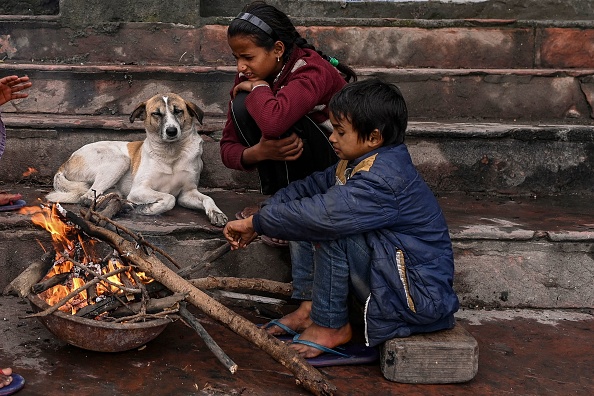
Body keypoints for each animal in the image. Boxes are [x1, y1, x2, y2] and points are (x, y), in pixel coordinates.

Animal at [44, 91, 227, 224]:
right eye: (156, 114)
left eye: (178, 111)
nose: (171, 131)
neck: (171, 153)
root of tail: (65, 162)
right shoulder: (139, 190)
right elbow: (169, 198)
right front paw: (147, 208)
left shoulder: (187, 193)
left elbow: (207, 198)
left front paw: (216, 213)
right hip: (119, 160)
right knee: (87, 197)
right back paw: (121, 203)